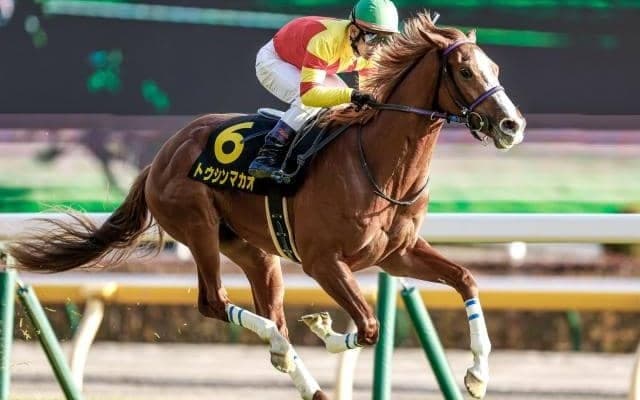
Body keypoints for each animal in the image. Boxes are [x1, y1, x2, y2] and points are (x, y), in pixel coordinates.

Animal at [8, 12, 525, 400]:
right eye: (465, 71)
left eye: (497, 70)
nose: (512, 125)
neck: (378, 163)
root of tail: (161, 155)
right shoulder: (323, 262)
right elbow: (370, 326)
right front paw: (324, 327)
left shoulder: (396, 254)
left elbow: (465, 278)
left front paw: (477, 377)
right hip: (197, 227)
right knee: (216, 303)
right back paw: (283, 347)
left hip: (253, 250)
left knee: (266, 310)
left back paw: (304, 377)